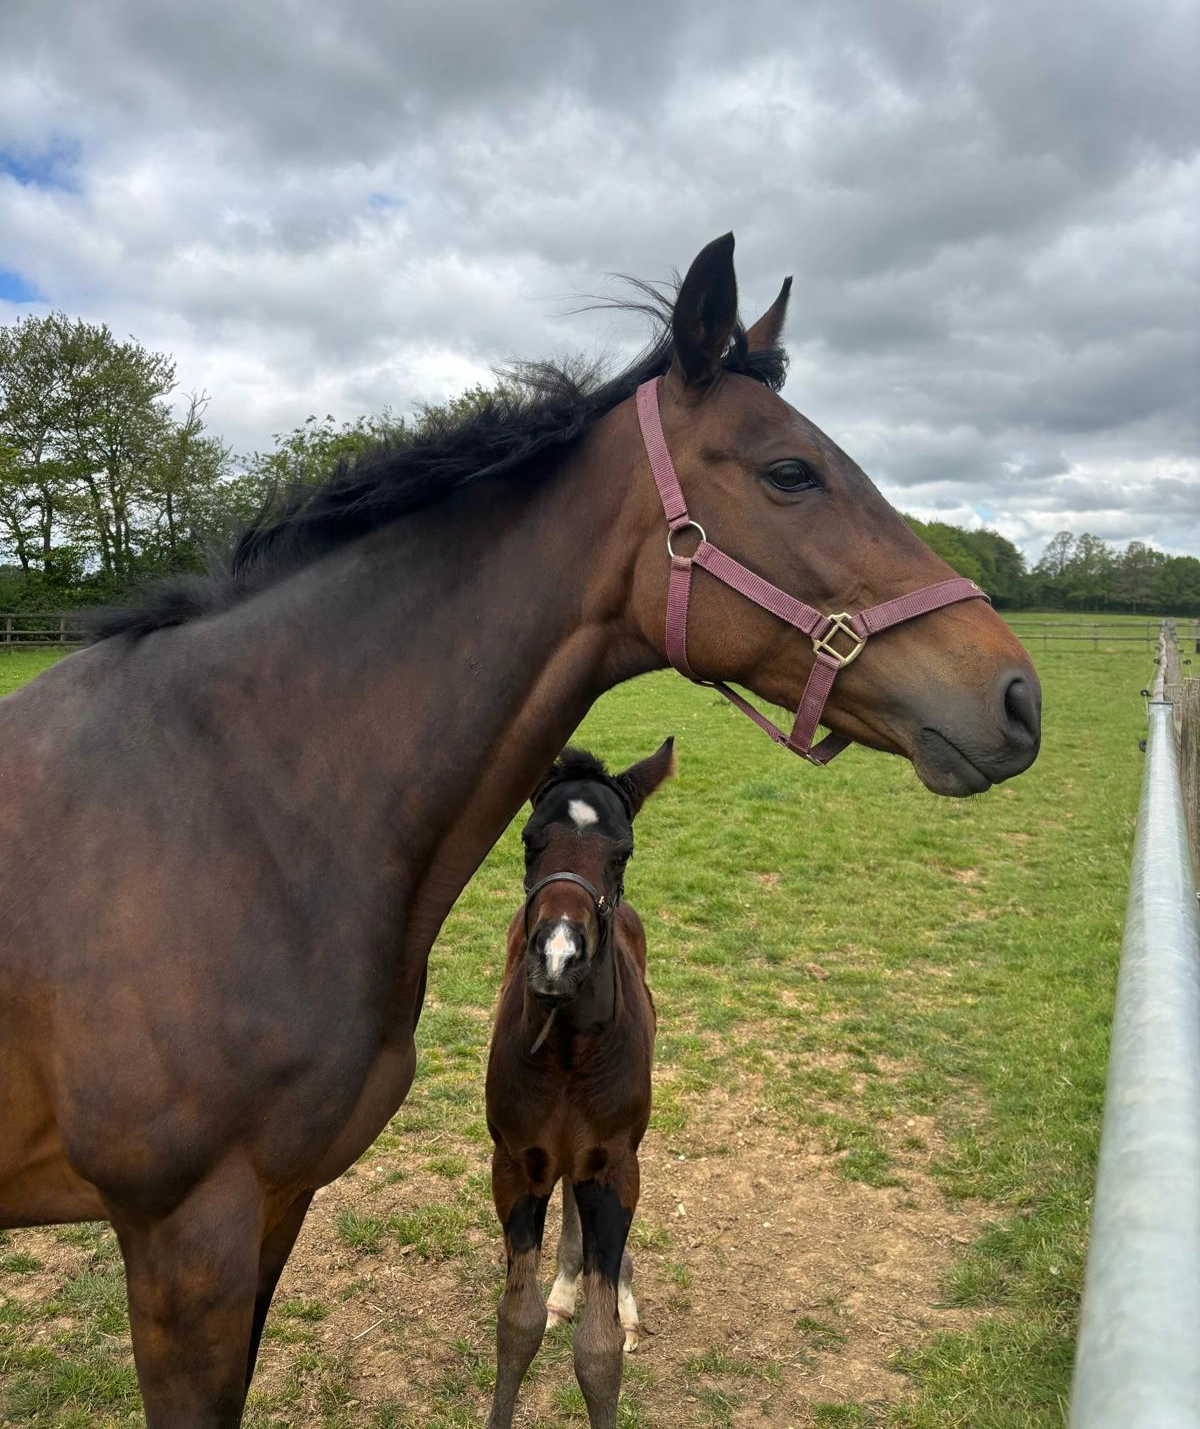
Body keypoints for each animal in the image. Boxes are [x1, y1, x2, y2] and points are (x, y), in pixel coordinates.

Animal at [484, 740, 674, 1429]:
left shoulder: (613, 1166)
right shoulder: (517, 1164)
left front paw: (613, 1309)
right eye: (529, 839)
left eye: (622, 852)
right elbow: (517, 1322)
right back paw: (566, 1287)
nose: (558, 958)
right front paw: (554, 1296)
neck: (568, 1050)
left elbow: (598, 1349)